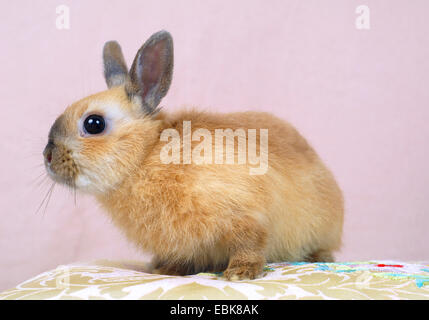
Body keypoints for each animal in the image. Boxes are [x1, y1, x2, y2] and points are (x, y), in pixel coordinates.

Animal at [43, 30, 342, 280]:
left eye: (94, 124)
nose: (47, 157)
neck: (146, 156)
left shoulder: (245, 214)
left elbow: (249, 244)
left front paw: (240, 274)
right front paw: (165, 269)